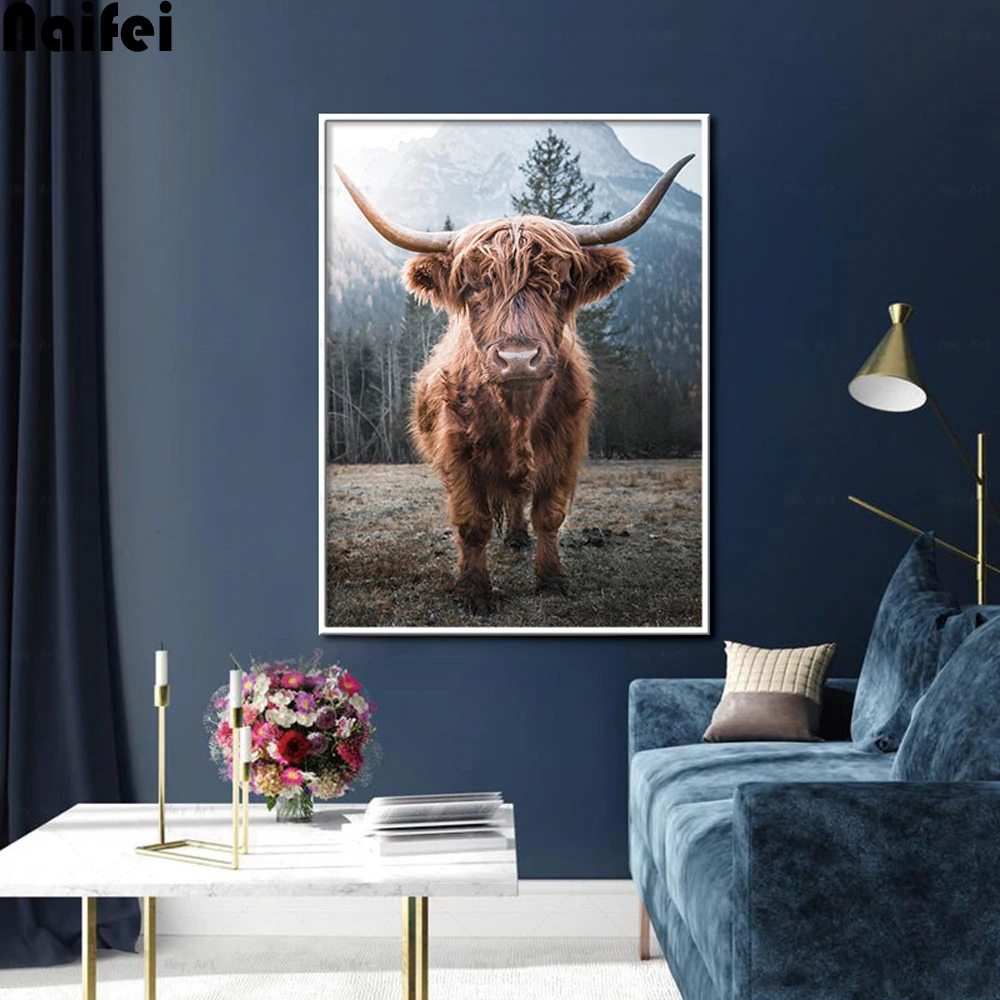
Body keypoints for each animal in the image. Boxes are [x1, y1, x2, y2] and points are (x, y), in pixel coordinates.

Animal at [335, 154, 694, 614]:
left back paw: (519, 538)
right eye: (471, 287)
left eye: (561, 285)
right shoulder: (458, 454)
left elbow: (549, 515)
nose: (518, 359)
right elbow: (473, 523)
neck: (517, 413)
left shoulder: (564, 450)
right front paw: (472, 591)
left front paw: (552, 578)